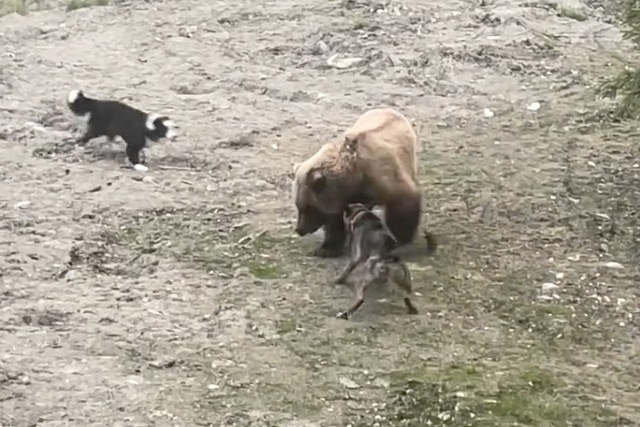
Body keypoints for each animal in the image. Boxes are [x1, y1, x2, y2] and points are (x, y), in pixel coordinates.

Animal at [292, 108, 422, 260]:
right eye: (298, 206)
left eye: (309, 208)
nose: (299, 229)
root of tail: (387, 109)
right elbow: (334, 221)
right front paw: (326, 248)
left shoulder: (382, 177)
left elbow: (404, 202)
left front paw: (399, 239)